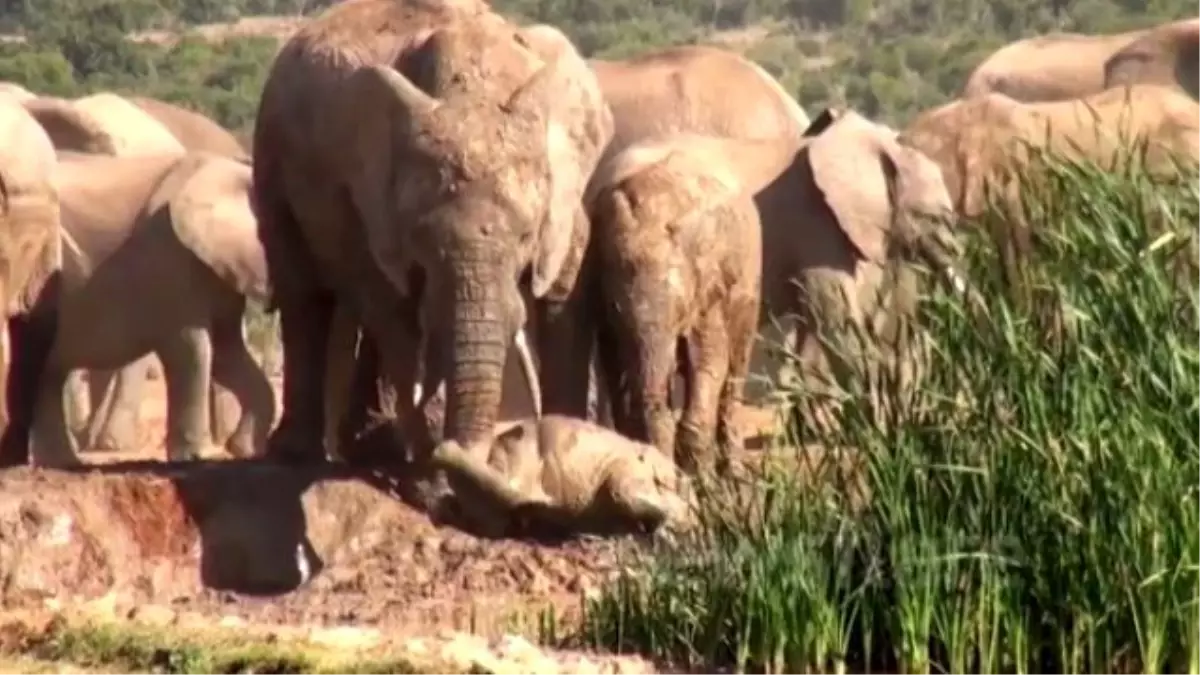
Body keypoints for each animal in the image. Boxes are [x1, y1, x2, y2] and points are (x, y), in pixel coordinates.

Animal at [31, 149, 276, 466]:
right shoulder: (168, 256)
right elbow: (190, 347)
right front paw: (196, 457)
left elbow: (226, 352)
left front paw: (244, 450)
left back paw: (61, 463)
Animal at [250, 0, 609, 461]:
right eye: (420, 238)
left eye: (527, 237)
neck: (470, 85)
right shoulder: (365, 197)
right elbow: (392, 306)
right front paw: (428, 454)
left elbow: (557, 291)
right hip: (272, 158)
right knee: (304, 295)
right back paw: (304, 451)